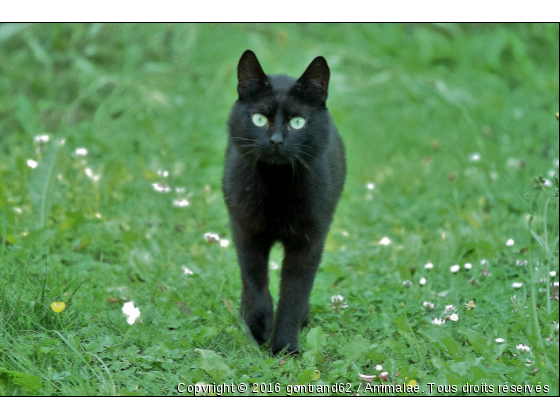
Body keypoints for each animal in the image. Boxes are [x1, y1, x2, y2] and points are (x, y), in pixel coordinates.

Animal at [223, 50, 346, 356]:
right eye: (258, 119)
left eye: (297, 122)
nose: (277, 140)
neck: (277, 185)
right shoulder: (245, 230)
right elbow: (254, 280)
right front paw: (258, 328)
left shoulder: (310, 240)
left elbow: (295, 292)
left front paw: (285, 347)